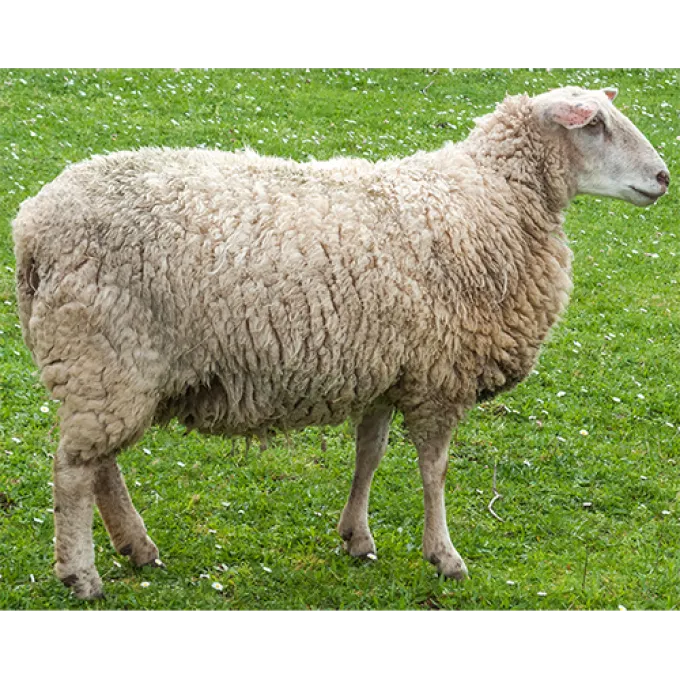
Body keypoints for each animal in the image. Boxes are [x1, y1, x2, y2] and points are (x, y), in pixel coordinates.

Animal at [12, 86, 670, 600]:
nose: (664, 177)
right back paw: (82, 575)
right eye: (596, 125)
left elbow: (369, 454)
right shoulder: (440, 375)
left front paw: (357, 537)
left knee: (98, 464)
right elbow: (434, 470)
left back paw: (136, 546)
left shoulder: (389, 365)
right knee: (73, 470)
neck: (489, 199)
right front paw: (444, 555)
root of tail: (31, 225)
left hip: (106, 366)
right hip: (105, 354)